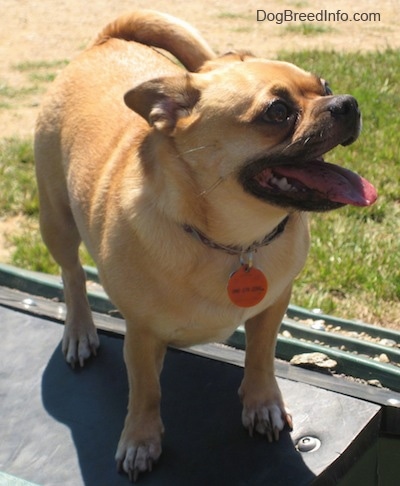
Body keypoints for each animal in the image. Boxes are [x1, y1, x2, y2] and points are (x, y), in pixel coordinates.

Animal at [34, 9, 376, 480]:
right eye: (278, 111)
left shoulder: (272, 306)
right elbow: (146, 391)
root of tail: (107, 40)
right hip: (57, 222)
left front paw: (262, 403)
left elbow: (261, 356)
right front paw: (140, 440)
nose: (347, 102)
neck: (235, 241)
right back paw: (80, 331)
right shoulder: (141, 334)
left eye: (323, 86)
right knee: (72, 276)